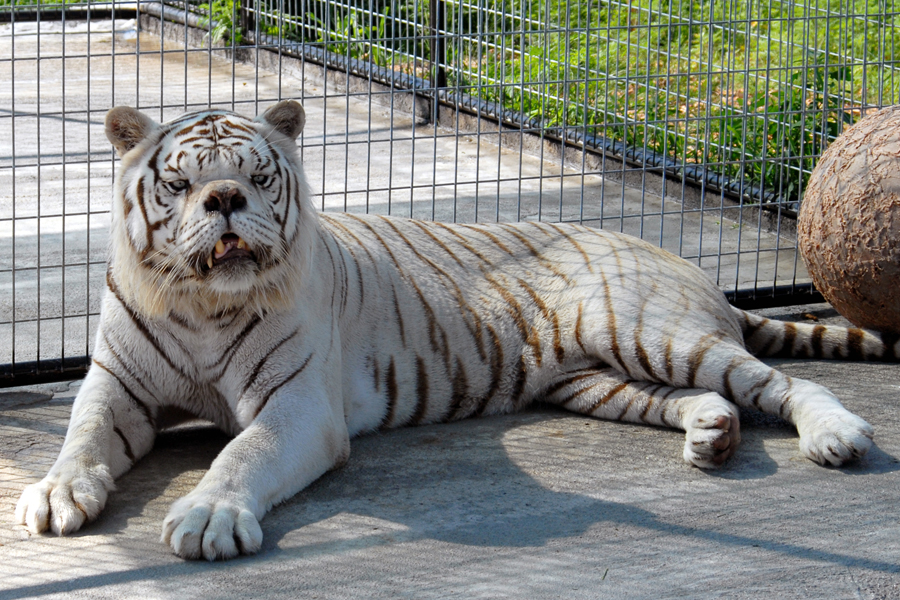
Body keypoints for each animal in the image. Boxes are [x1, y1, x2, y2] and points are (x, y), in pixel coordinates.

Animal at [14, 99, 892, 564]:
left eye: (258, 176)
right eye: (179, 183)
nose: (226, 200)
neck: (202, 304)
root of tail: (682, 260)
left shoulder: (298, 406)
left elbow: (243, 452)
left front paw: (208, 516)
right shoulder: (117, 385)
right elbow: (82, 436)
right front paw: (55, 493)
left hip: (651, 330)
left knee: (784, 382)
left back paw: (838, 436)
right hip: (597, 379)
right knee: (701, 399)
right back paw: (712, 433)